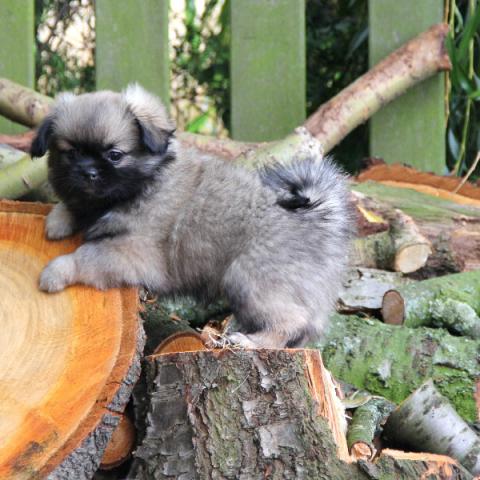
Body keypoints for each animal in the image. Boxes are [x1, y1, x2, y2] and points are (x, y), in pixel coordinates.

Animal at [30, 85, 352, 348]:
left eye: (114, 155)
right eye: (71, 153)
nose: (88, 172)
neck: (143, 184)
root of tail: (317, 217)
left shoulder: (130, 253)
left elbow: (85, 256)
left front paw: (55, 272)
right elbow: (70, 207)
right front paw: (58, 220)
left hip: (249, 279)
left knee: (291, 321)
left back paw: (251, 342)